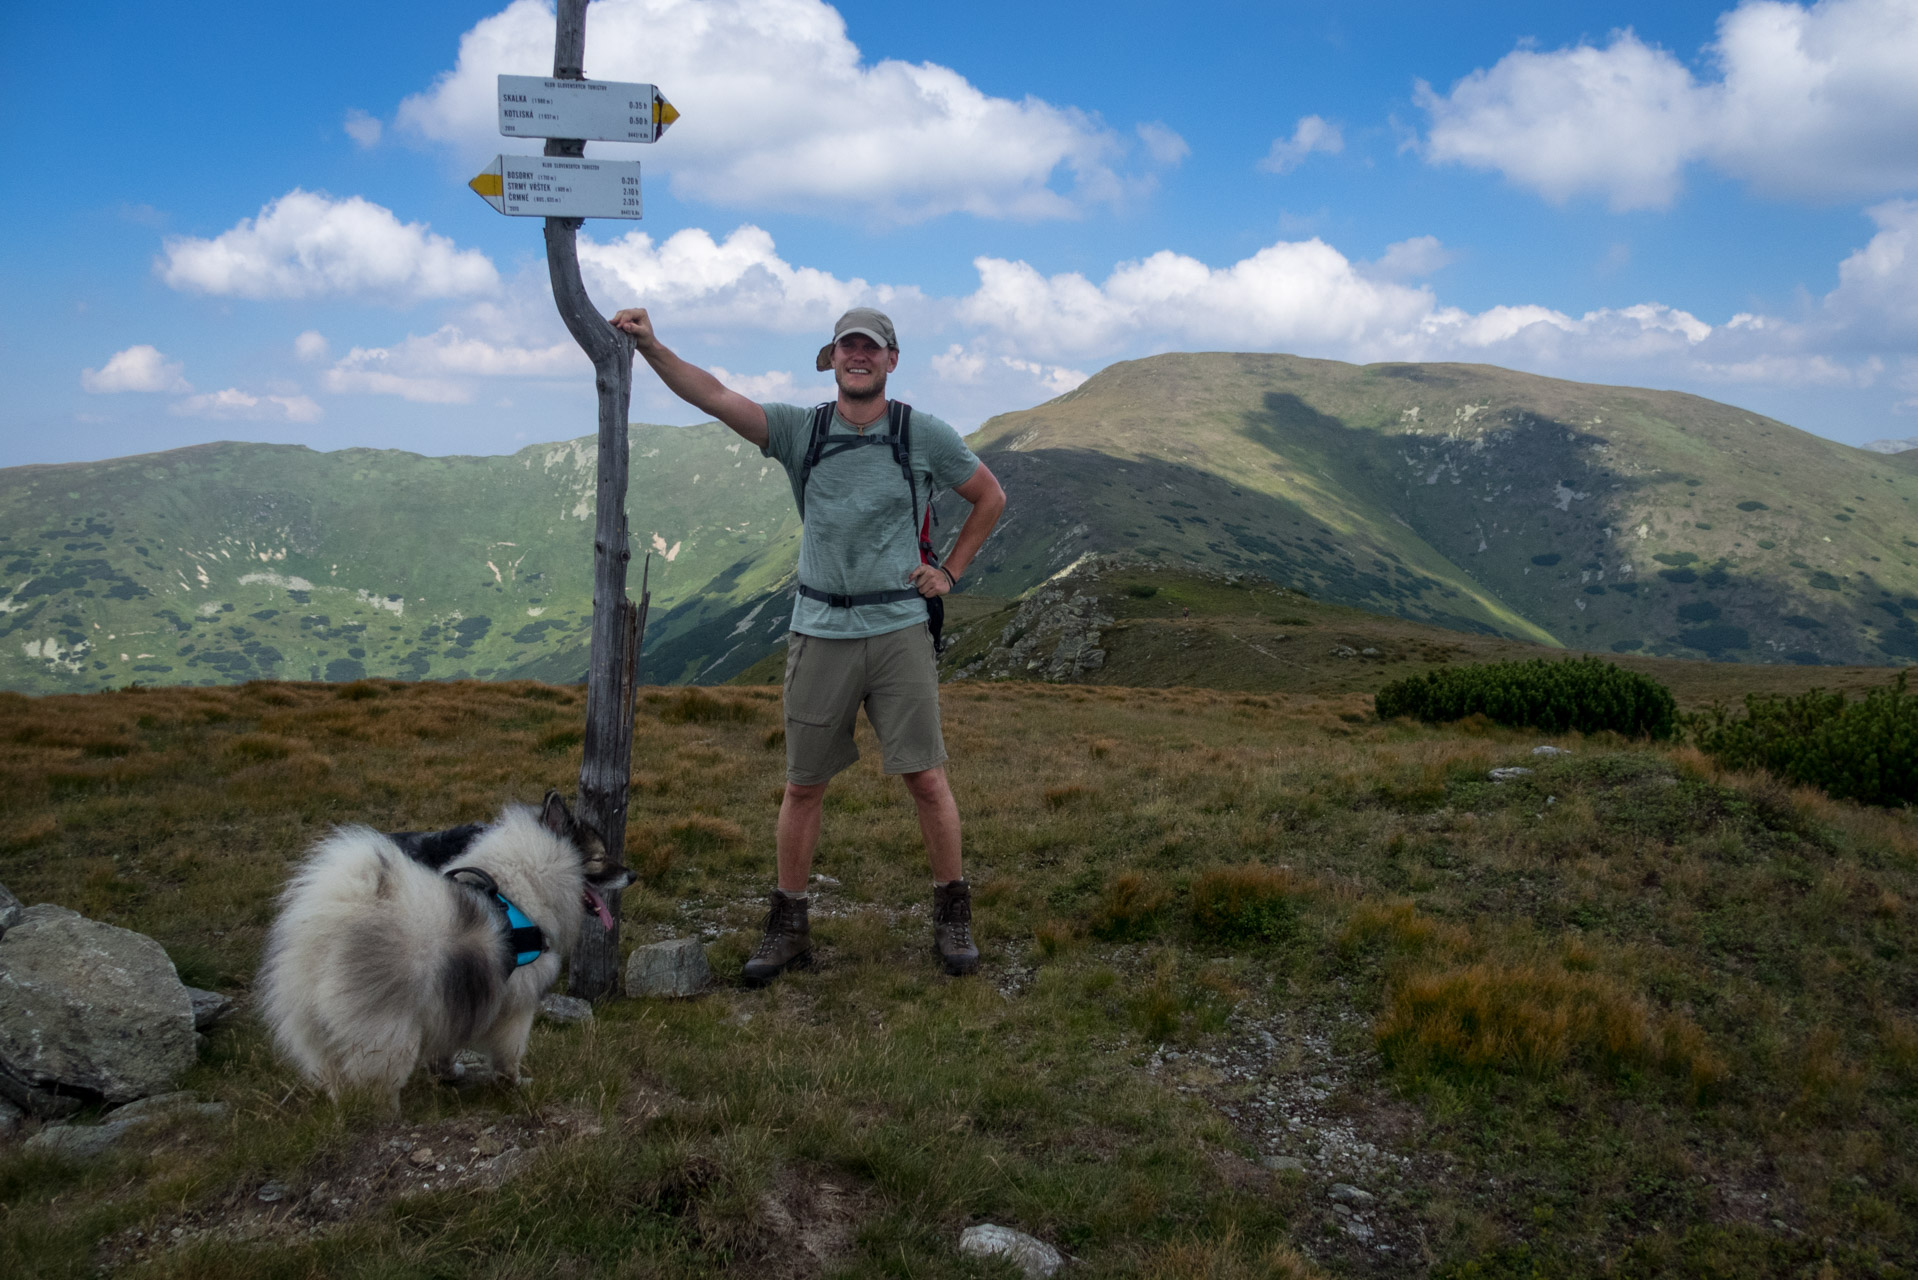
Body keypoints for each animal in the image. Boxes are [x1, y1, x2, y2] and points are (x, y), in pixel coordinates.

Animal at [255, 786, 625, 1105]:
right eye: (598, 858)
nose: (632, 875)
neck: (524, 888)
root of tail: (330, 925)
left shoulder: (450, 1001)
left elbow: (445, 1047)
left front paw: (447, 1073)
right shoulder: (516, 1006)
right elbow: (510, 1054)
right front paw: (515, 1084)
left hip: (316, 1026)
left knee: (334, 1075)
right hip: (389, 1030)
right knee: (375, 1085)